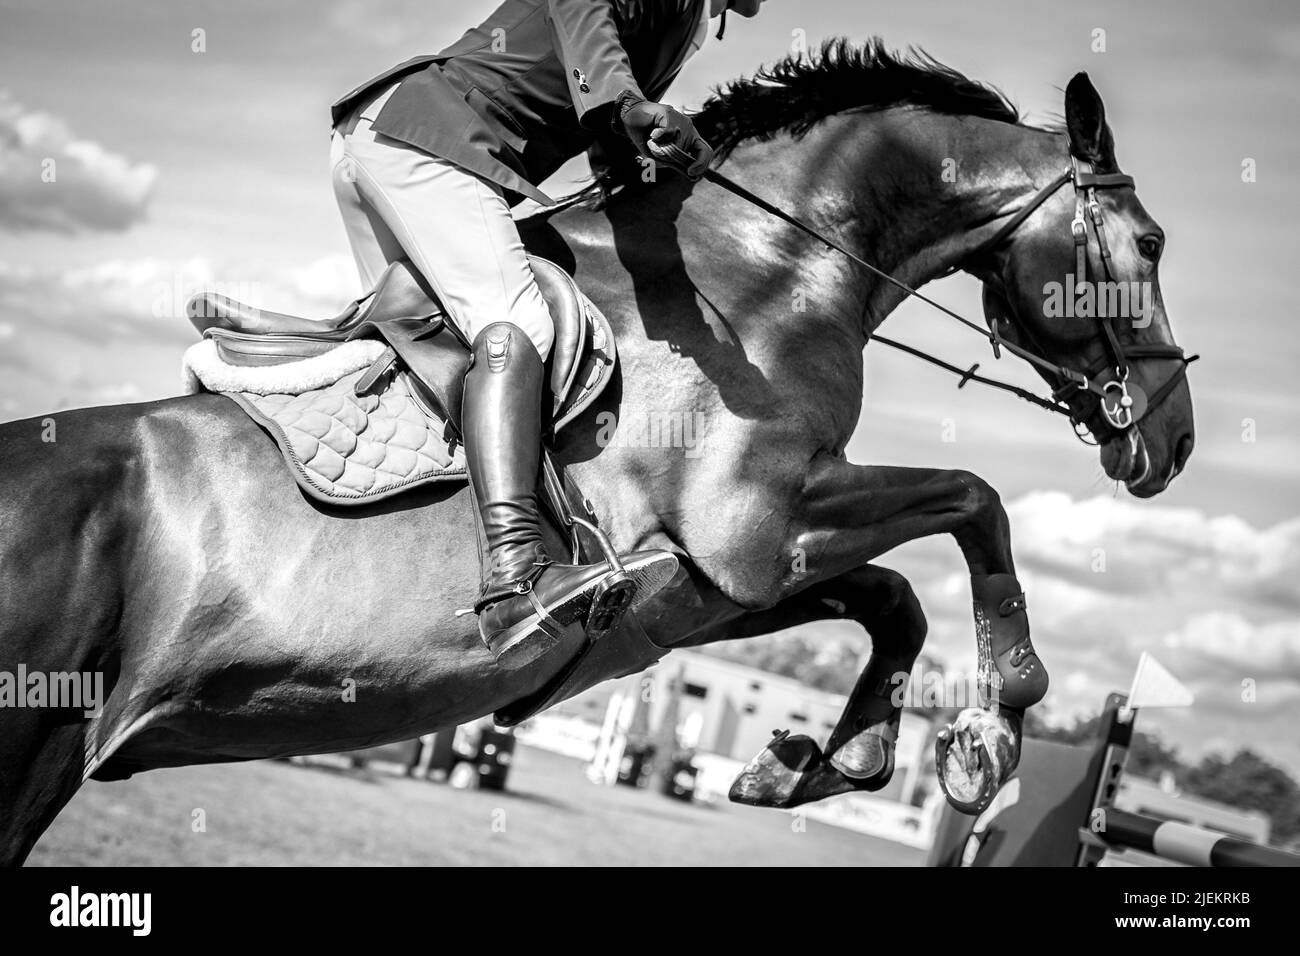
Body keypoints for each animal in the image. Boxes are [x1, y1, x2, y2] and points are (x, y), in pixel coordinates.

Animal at [0, 41, 1194, 865]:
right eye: (1147, 242)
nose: (1174, 440)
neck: (765, 272)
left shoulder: (713, 579)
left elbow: (892, 595)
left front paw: (811, 764)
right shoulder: (758, 520)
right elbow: (973, 496)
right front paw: (997, 720)